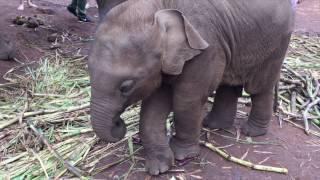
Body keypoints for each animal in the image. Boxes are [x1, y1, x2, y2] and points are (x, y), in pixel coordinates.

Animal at [88, 0, 296, 175]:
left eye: (126, 87)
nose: (118, 124)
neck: (160, 7)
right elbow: (153, 105)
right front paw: (159, 168)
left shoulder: (206, 49)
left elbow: (186, 100)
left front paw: (182, 156)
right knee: (229, 83)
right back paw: (213, 125)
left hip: (277, 42)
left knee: (259, 87)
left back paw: (251, 132)